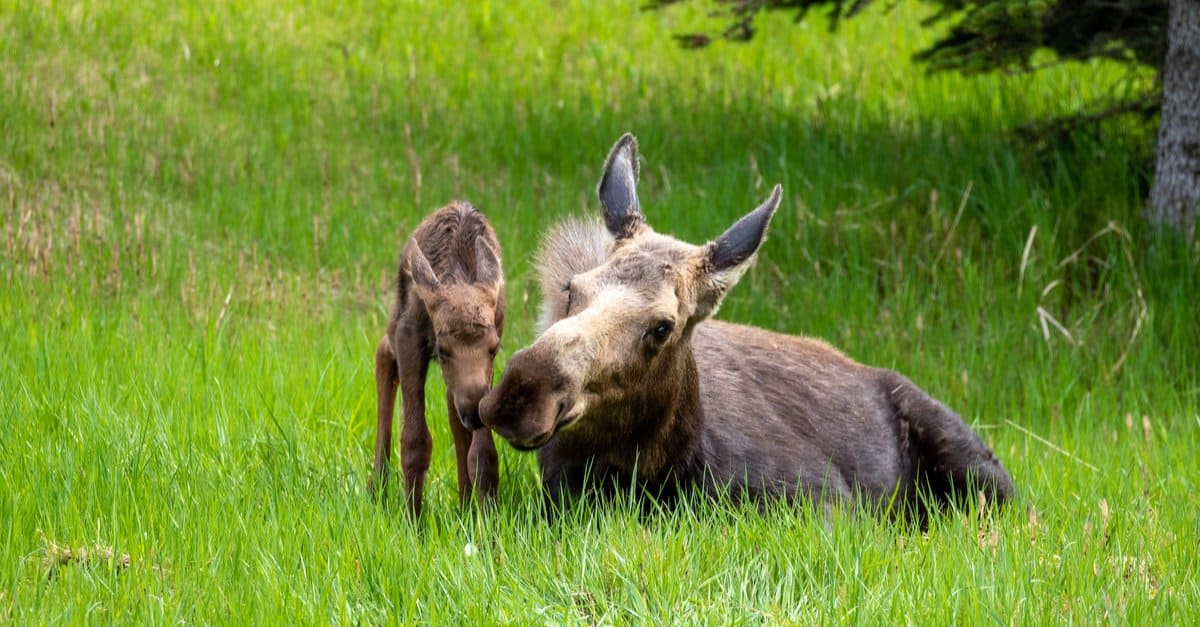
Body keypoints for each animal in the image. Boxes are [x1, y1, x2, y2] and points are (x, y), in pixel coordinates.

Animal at [372, 200, 508, 511]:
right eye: (442, 350)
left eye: (494, 348)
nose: (473, 407)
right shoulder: (410, 339)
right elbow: (415, 440)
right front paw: (413, 517)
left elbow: (483, 452)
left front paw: (487, 514)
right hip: (396, 320)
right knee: (383, 353)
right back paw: (377, 488)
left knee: (452, 410)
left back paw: (465, 504)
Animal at [477, 132, 1012, 516]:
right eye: (572, 288)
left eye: (663, 327)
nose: (522, 393)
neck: (662, 467)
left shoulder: (826, 499)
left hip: (981, 471)